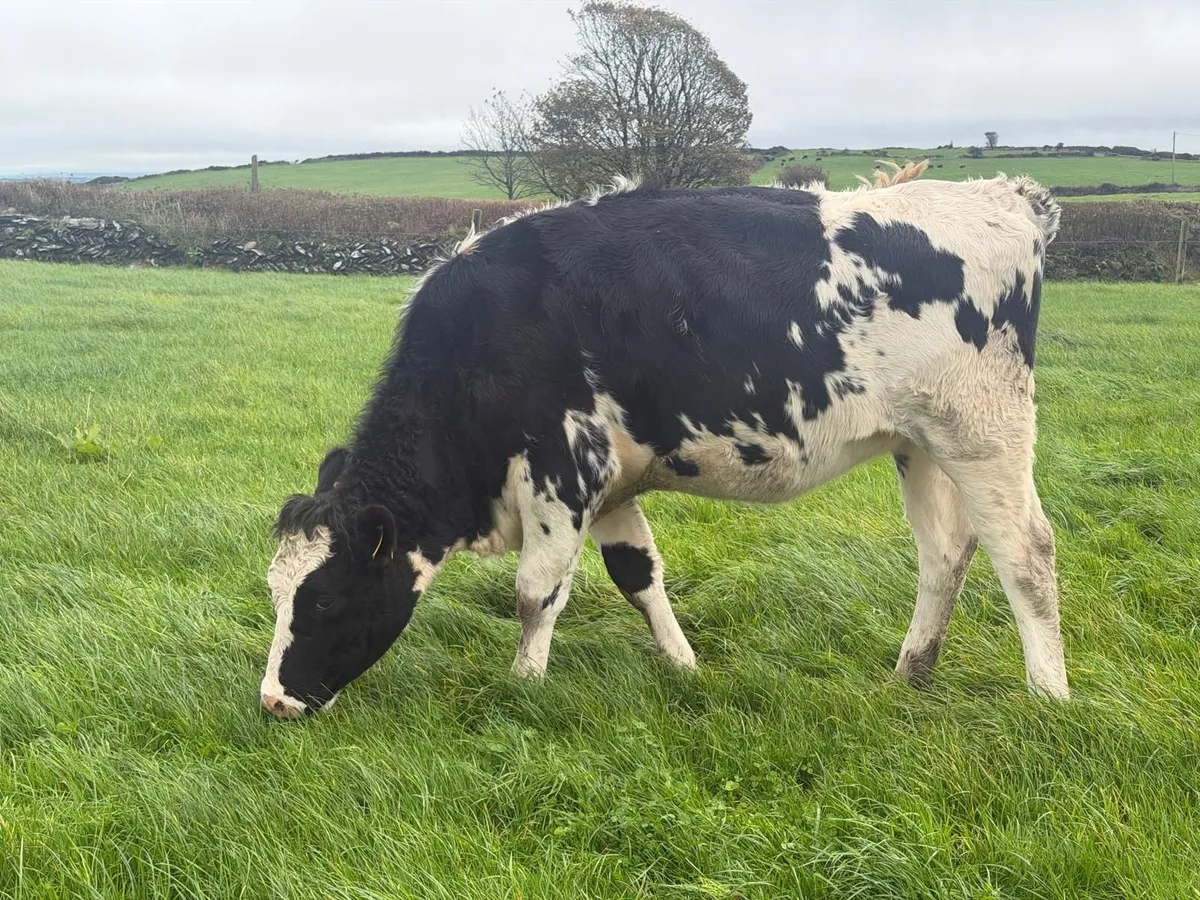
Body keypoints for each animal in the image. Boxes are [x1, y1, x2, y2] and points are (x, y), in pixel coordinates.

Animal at [260, 162, 1067, 719]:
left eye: (324, 600)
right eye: (273, 592)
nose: (273, 701)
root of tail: (1004, 196)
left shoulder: (563, 467)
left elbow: (535, 594)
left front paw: (523, 687)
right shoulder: (612, 480)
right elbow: (638, 575)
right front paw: (684, 667)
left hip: (984, 433)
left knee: (1024, 551)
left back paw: (1049, 697)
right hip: (920, 443)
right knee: (946, 553)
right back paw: (911, 672)